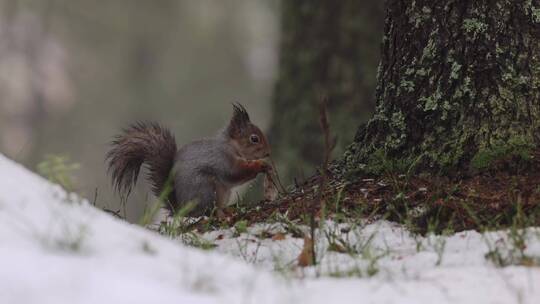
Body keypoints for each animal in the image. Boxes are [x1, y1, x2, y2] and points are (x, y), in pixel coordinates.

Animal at [106, 104, 272, 216]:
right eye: (254, 139)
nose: (268, 153)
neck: (231, 146)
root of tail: (182, 209)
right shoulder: (222, 160)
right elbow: (235, 173)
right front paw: (259, 165)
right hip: (206, 189)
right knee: (209, 212)